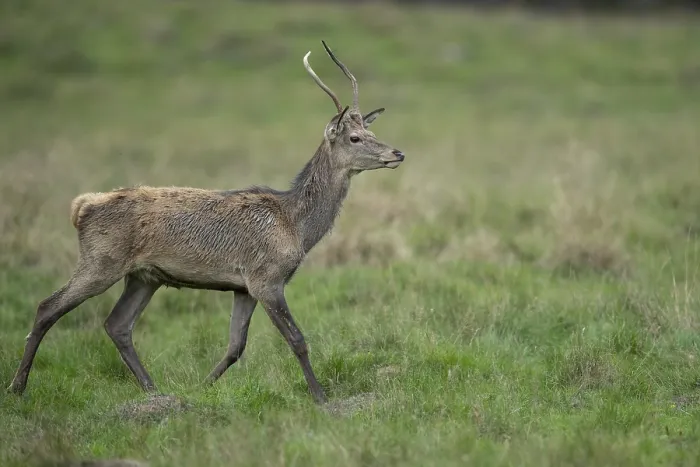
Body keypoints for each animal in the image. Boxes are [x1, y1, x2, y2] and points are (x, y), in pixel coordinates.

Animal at [7, 41, 404, 404]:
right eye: (355, 137)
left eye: (372, 133)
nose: (397, 152)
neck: (297, 227)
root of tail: (82, 207)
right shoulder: (267, 278)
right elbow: (297, 339)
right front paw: (321, 397)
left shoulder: (243, 287)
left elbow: (235, 346)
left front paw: (201, 387)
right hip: (100, 260)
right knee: (47, 307)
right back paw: (17, 387)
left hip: (144, 277)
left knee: (117, 324)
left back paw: (153, 390)